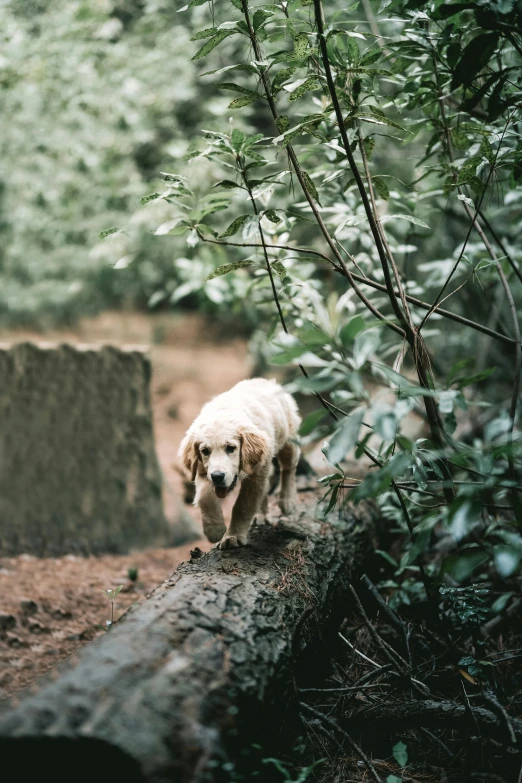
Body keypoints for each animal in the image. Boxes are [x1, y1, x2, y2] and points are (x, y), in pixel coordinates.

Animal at [179, 380, 300, 552]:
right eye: (205, 451)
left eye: (231, 448)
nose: (217, 477)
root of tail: (266, 381)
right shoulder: (203, 470)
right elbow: (204, 498)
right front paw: (215, 530)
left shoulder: (255, 474)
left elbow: (242, 505)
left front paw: (233, 536)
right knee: (266, 485)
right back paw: (261, 515)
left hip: (288, 439)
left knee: (288, 468)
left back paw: (288, 501)